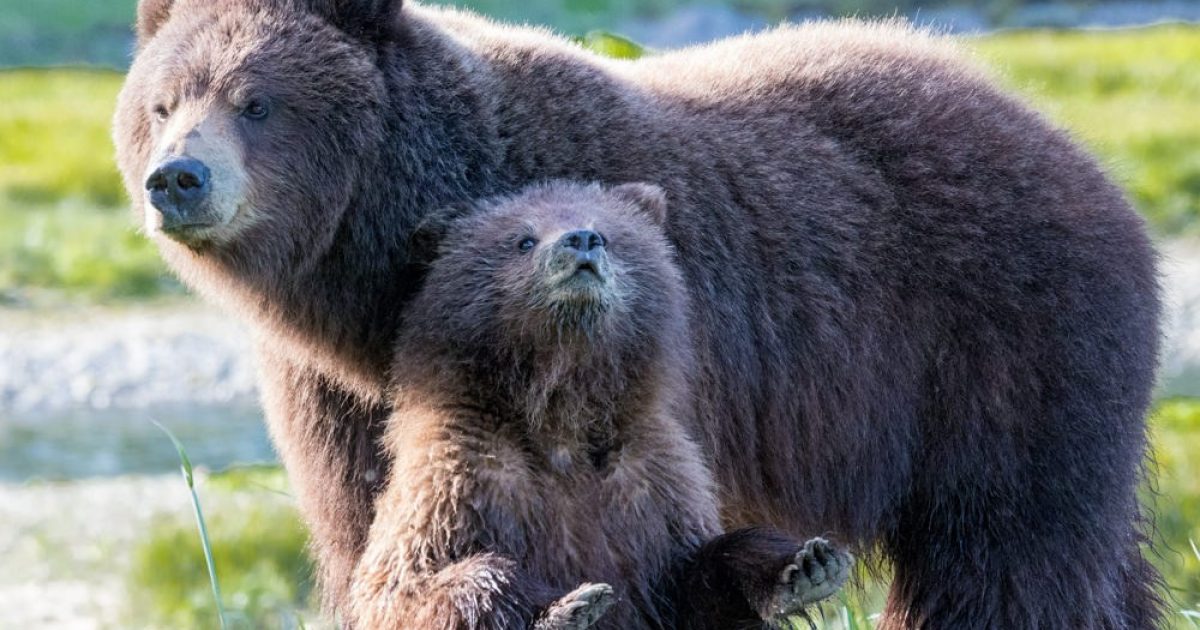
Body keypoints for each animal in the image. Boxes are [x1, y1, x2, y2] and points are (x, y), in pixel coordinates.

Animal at [348, 180, 851, 629]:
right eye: (523, 238)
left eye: (607, 231)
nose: (581, 241)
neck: (562, 417)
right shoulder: (464, 481)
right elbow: (413, 586)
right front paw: (567, 608)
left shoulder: (651, 485)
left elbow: (696, 572)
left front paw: (804, 568)